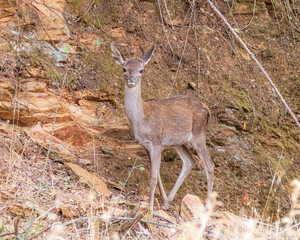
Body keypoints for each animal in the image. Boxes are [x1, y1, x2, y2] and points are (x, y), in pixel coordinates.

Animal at [111, 43, 214, 210]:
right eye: (124, 69)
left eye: (141, 70)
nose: (131, 80)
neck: (141, 120)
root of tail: (208, 110)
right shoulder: (146, 144)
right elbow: (157, 173)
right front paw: (162, 201)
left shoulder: (157, 141)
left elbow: (153, 176)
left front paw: (151, 207)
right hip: (178, 142)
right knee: (189, 161)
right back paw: (169, 200)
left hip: (199, 134)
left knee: (209, 165)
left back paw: (208, 207)